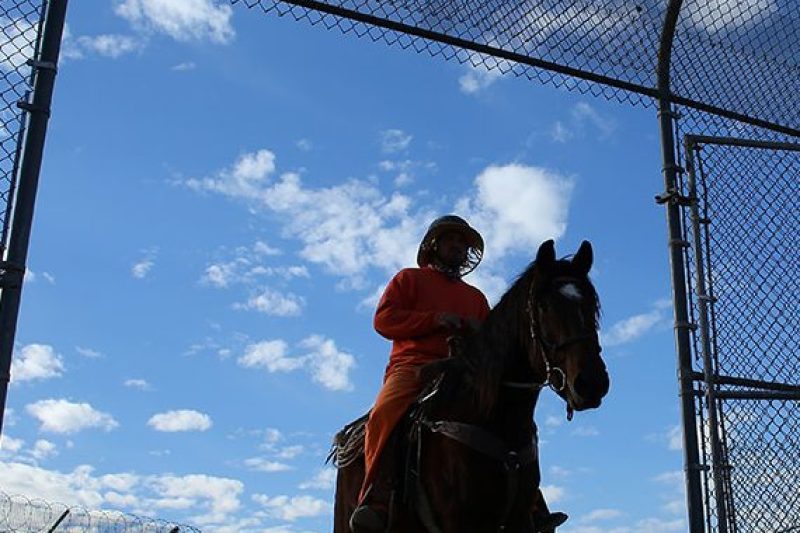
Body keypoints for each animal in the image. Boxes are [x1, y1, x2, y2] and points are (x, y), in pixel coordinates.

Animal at [334, 240, 608, 528]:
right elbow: (386, 316)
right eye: (543, 306)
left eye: (592, 306)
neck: (496, 417)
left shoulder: (520, 518)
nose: (591, 383)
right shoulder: (459, 520)